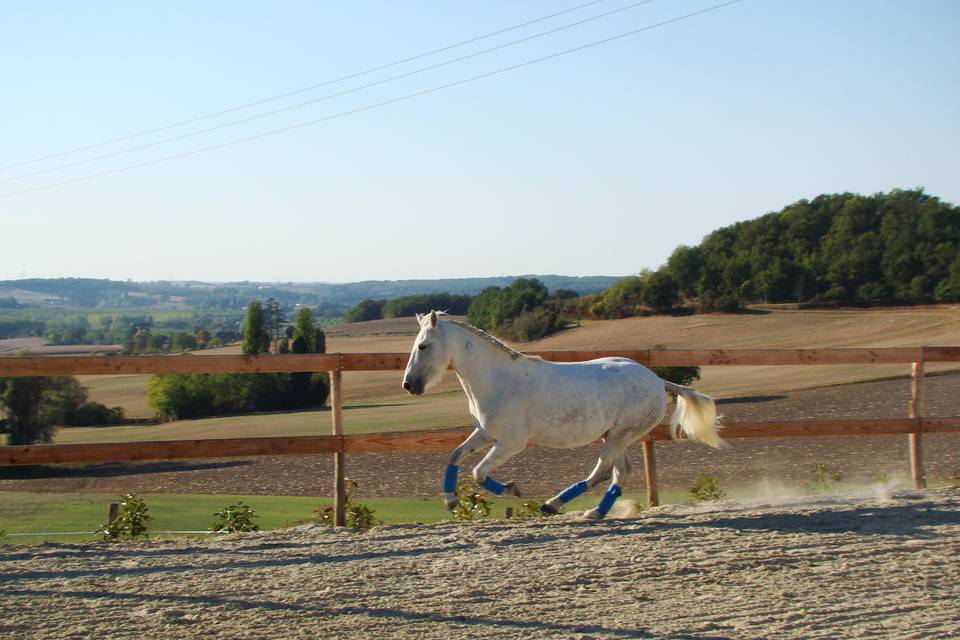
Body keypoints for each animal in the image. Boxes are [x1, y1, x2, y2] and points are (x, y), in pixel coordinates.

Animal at [402, 312, 724, 520]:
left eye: (423, 346)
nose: (409, 386)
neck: (496, 379)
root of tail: (657, 381)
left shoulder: (511, 443)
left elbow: (478, 472)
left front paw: (512, 489)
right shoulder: (485, 433)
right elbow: (456, 455)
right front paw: (451, 500)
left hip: (622, 434)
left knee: (603, 471)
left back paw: (552, 505)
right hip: (616, 435)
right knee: (619, 472)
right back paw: (594, 512)